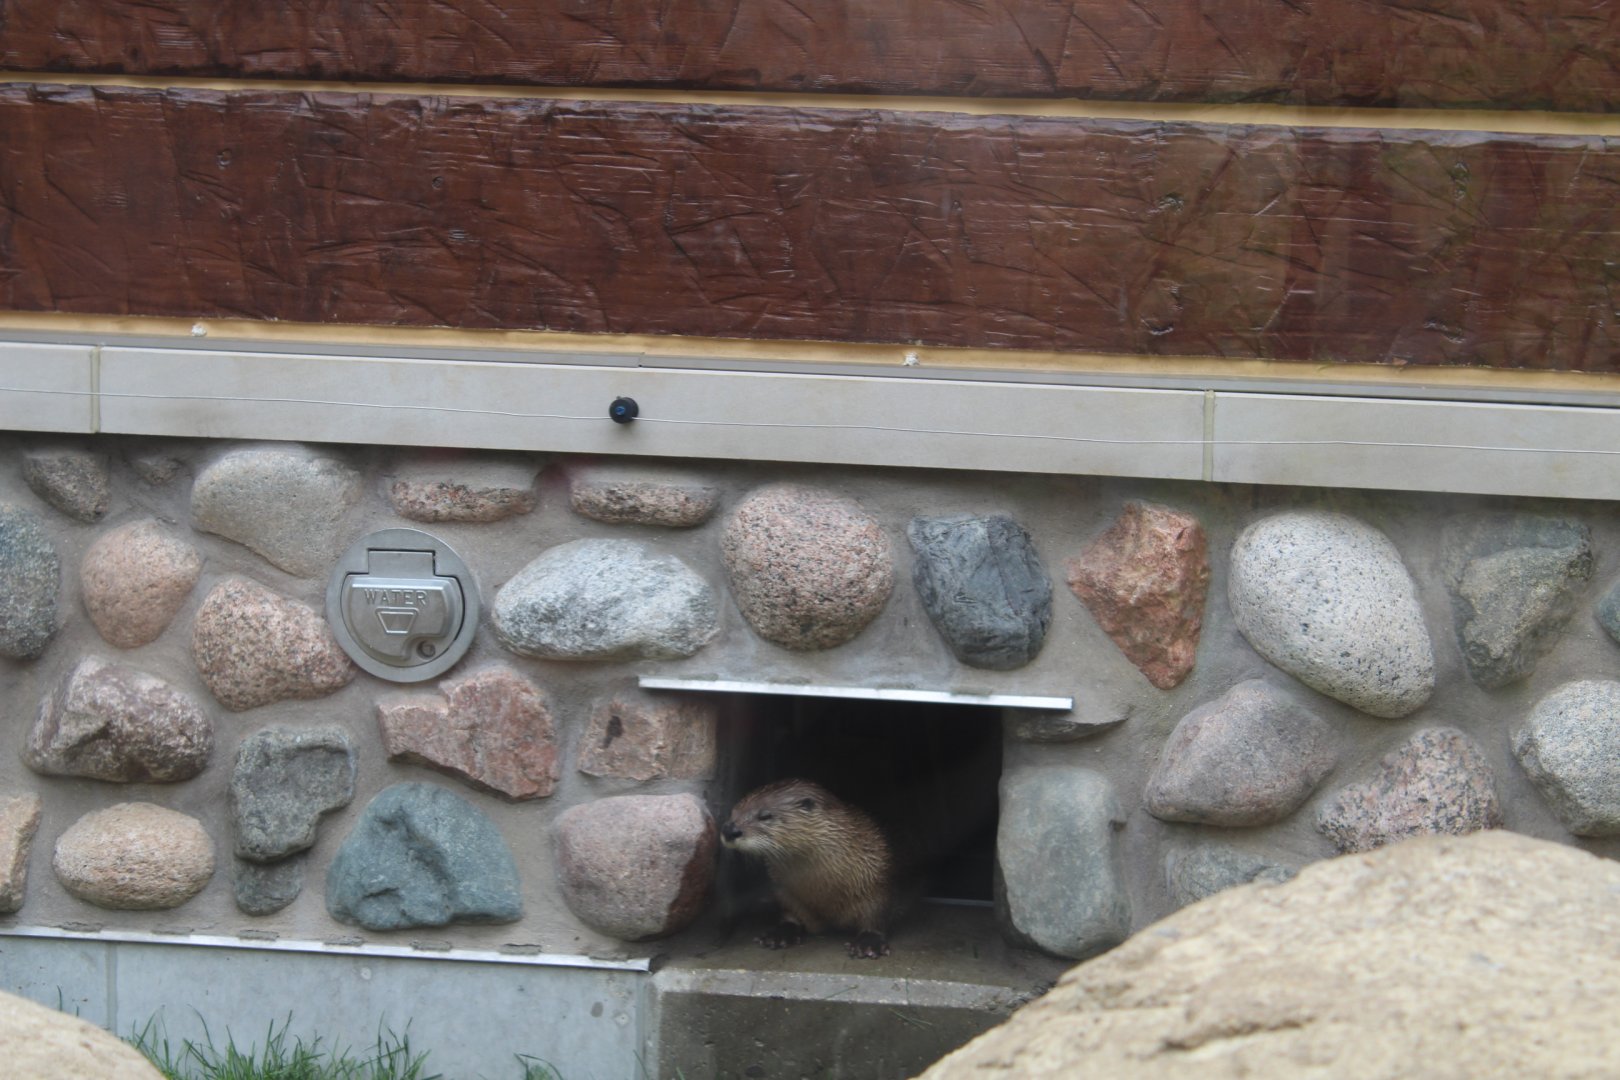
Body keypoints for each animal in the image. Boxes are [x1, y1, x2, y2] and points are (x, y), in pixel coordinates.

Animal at [720, 778, 895, 959]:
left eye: (765, 816)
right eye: (733, 811)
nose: (729, 830)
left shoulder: (876, 883)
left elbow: (875, 917)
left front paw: (869, 942)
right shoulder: (786, 893)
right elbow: (791, 914)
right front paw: (779, 934)